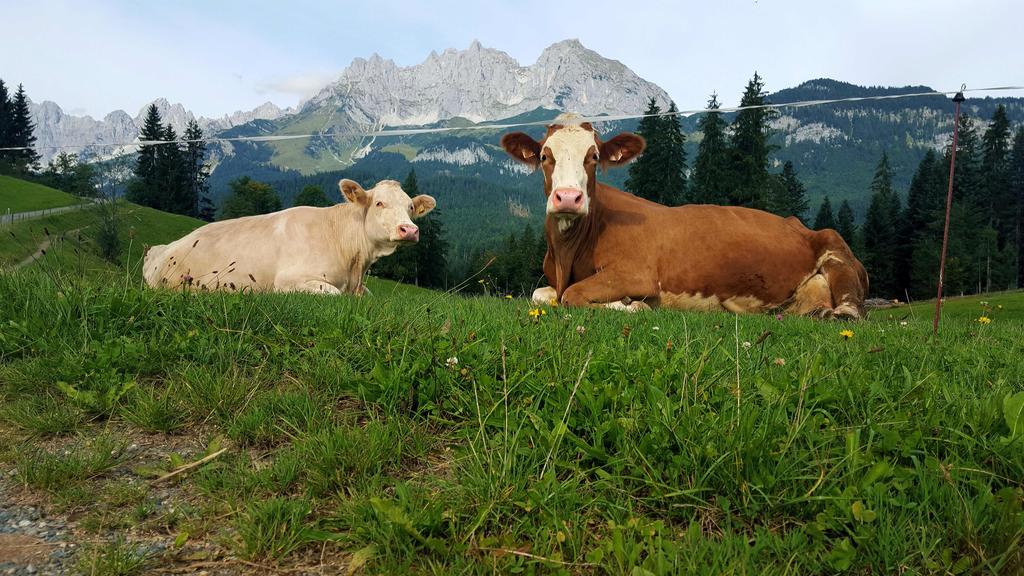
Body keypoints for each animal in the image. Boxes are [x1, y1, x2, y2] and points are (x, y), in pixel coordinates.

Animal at [142, 178, 434, 295]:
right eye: (379, 203)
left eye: (410, 207)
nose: (409, 230)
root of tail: (161, 248)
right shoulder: (289, 280)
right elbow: (333, 293)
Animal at [499, 113, 868, 315]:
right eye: (544, 156)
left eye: (593, 157)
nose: (568, 198)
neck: (567, 255)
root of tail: (797, 223)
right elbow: (541, 294)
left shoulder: (636, 273)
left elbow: (573, 296)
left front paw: (632, 305)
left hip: (833, 241)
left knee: (851, 301)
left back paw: (841, 314)